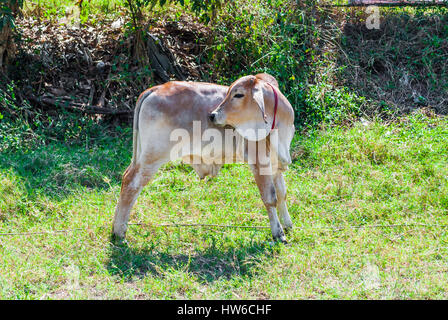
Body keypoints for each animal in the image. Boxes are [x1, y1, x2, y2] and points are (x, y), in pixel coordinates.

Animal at [112, 72, 296, 242]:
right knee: (131, 183)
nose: (212, 115)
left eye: (238, 94)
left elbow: (282, 194)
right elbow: (270, 198)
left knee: (126, 177)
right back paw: (119, 232)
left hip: (142, 155)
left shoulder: (276, 165)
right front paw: (278, 233)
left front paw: (288, 225)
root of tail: (155, 89)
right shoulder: (259, 163)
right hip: (152, 157)